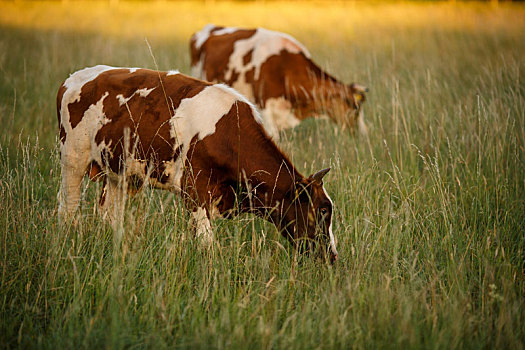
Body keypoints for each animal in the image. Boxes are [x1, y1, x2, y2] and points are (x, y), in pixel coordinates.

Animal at [55, 65, 338, 262]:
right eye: (323, 210)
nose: (333, 255)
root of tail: (73, 78)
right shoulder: (195, 190)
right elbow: (206, 243)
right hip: (73, 159)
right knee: (67, 207)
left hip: (120, 174)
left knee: (108, 213)